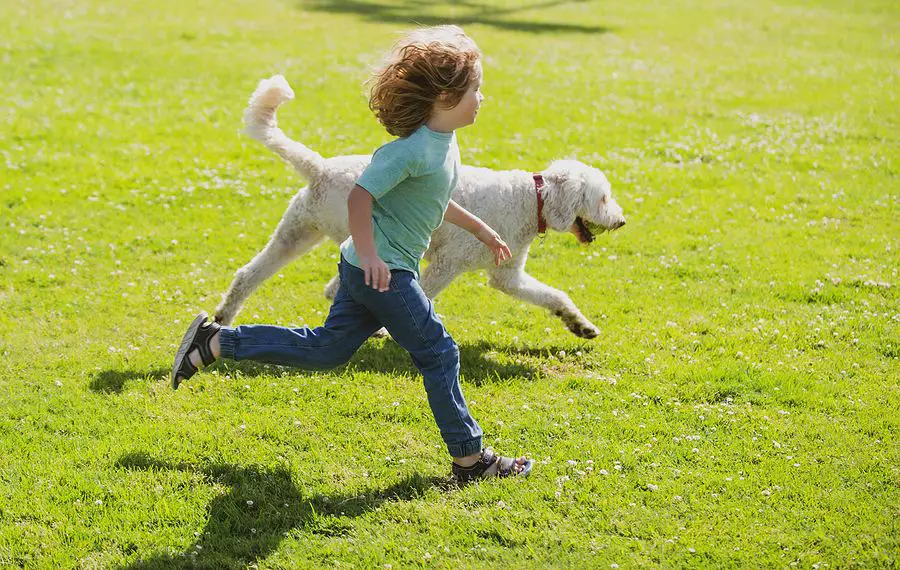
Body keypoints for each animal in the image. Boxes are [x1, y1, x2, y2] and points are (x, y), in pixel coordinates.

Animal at [216, 77, 624, 340]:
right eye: (603, 197)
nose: (621, 221)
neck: (527, 200)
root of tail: (320, 168)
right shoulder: (446, 265)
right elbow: (423, 297)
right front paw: (390, 331)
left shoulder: (507, 278)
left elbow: (555, 296)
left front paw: (580, 325)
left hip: (297, 233)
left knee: (252, 276)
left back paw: (223, 316)